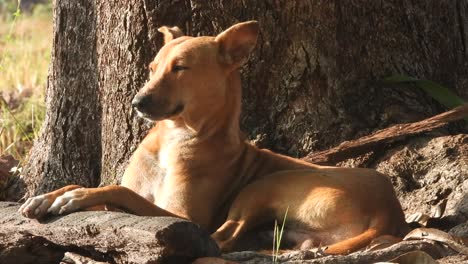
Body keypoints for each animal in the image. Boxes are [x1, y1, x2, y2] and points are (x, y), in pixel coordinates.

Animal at [18, 20, 408, 254]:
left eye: (181, 68)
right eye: (151, 68)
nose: (137, 102)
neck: (175, 138)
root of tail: (389, 210)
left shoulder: (181, 215)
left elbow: (119, 190)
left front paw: (76, 196)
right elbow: (98, 188)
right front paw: (50, 195)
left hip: (265, 185)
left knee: (221, 239)